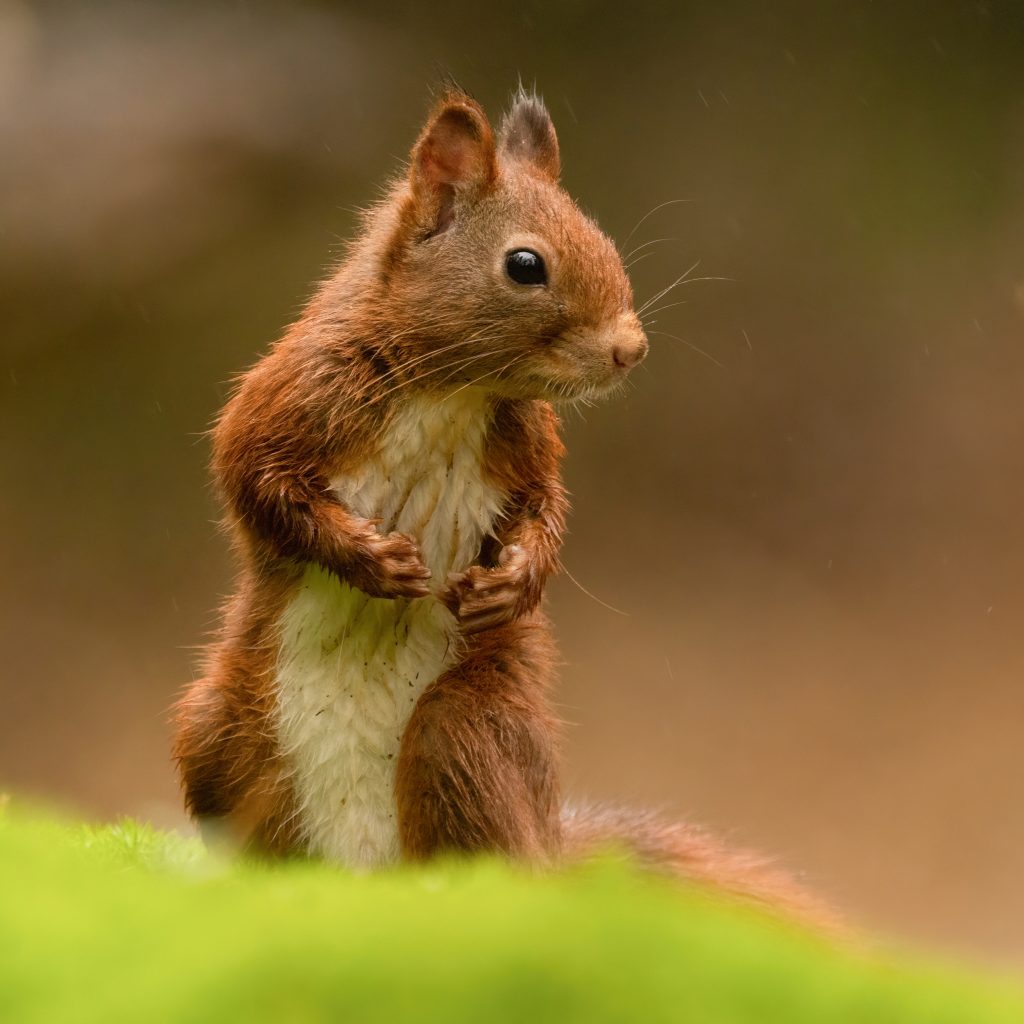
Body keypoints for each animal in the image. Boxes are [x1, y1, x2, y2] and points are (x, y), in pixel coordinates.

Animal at [174, 86, 831, 921]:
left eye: (602, 238)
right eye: (525, 265)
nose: (630, 349)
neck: (451, 391)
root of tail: (366, 879)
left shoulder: (527, 443)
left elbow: (547, 510)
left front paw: (514, 581)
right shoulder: (293, 397)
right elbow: (255, 483)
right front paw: (371, 558)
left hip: (469, 727)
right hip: (215, 732)